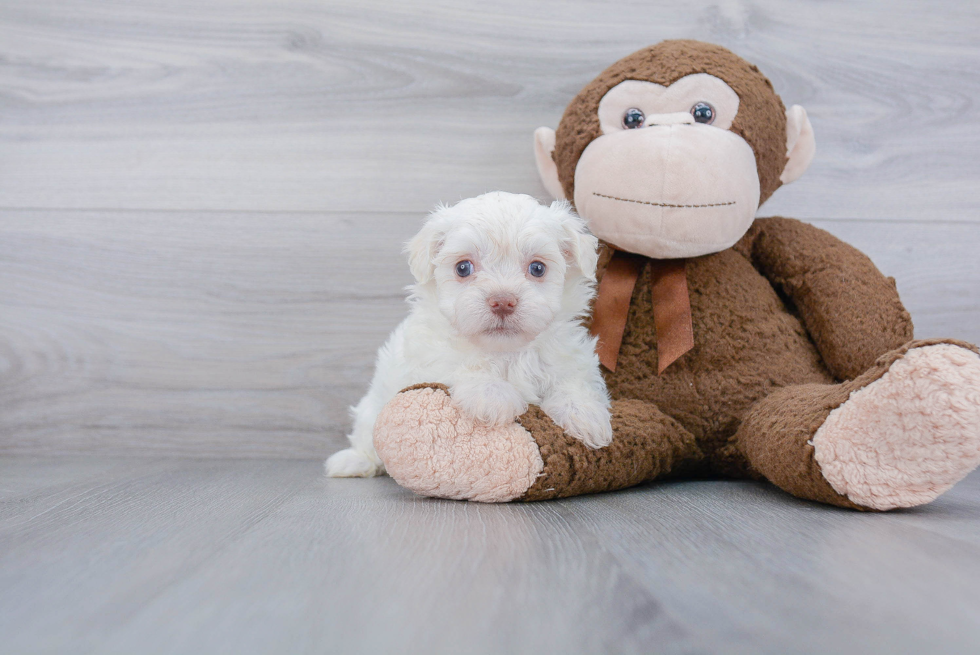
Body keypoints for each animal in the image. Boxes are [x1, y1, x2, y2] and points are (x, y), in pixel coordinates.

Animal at [330, 192, 612, 480]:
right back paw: (353, 462)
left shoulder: (568, 357)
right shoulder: (429, 358)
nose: (502, 301)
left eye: (537, 268)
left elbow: (573, 381)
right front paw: (493, 396)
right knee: (367, 437)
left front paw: (585, 415)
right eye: (463, 268)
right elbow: (460, 367)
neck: (506, 352)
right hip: (371, 409)